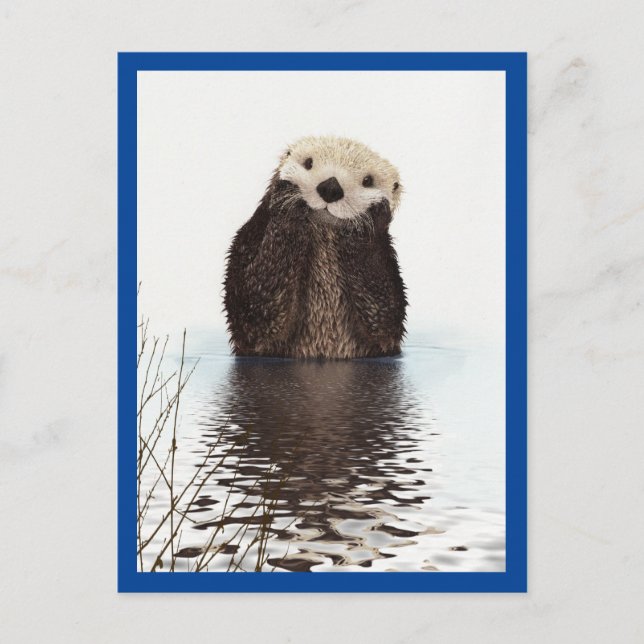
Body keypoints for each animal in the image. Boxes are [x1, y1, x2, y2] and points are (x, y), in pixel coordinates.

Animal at [223, 135, 407, 359]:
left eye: (368, 181)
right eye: (308, 163)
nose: (331, 188)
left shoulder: (387, 267)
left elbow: (384, 316)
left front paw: (367, 220)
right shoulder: (248, 240)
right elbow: (254, 307)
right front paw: (288, 200)